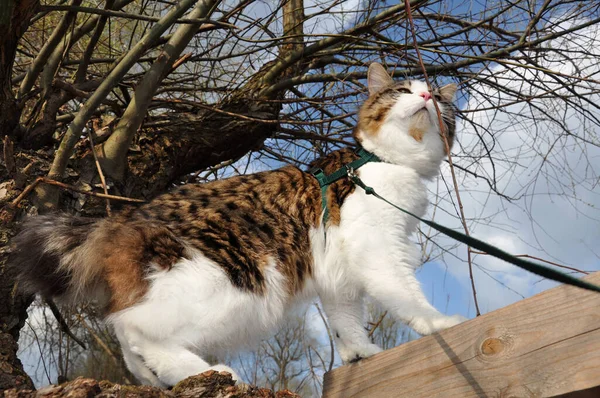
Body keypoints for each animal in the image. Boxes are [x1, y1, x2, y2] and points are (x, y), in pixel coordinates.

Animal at [10, 63, 468, 388]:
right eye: (403, 91)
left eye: (439, 102)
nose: (426, 94)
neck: (386, 163)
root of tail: (121, 219)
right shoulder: (378, 250)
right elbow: (406, 296)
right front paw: (440, 324)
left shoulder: (338, 274)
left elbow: (346, 321)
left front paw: (360, 353)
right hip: (233, 286)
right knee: (132, 327)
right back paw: (209, 372)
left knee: (129, 338)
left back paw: (164, 376)